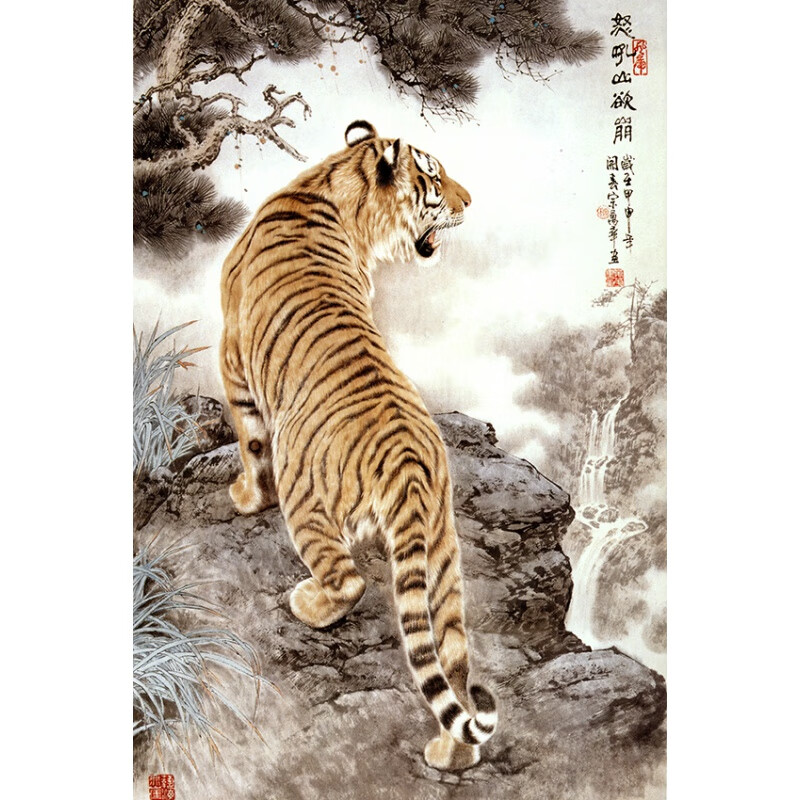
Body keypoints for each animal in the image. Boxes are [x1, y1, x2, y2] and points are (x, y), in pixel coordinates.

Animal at [218, 120, 497, 771]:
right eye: (435, 178)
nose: (471, 201)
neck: (333, 184)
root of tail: (411, 465)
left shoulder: (233, 357)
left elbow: (250, 441)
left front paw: (244, 497)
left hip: (309, 502)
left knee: (348, 582)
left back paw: (306, 604)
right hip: (442, 557)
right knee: (452, 662)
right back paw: (449, 756)